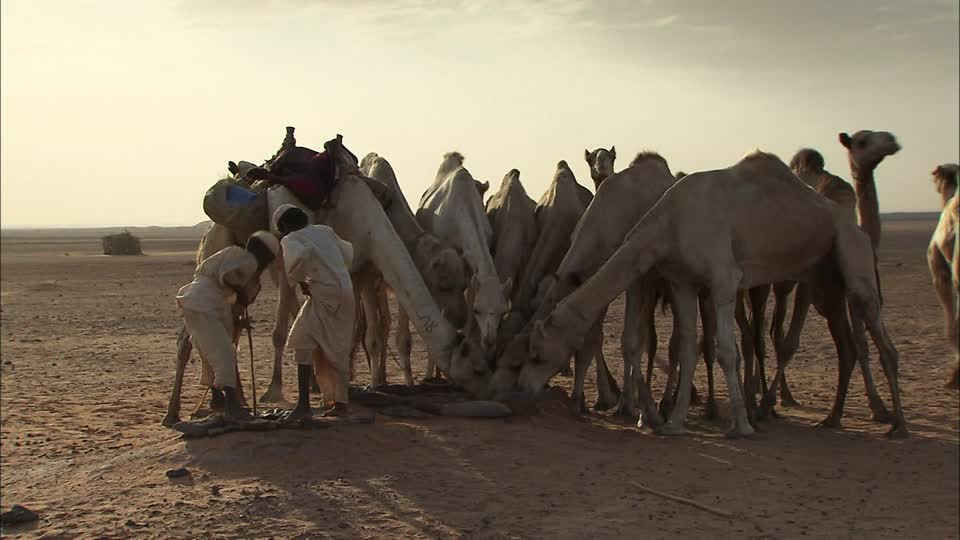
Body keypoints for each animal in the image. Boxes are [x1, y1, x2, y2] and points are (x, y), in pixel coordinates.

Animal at [520, 151, 907, 439]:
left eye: (536, 354)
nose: (522, 388)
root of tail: (854, 225)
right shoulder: (681, 282)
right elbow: (685, 347)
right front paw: (670, 421)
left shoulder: (716, 280)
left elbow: (720, 350)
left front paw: (737, 426)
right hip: (823, 278)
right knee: (845, 344)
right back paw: (829, 417)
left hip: (851, 257)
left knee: (879, 340)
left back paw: (894, 424)